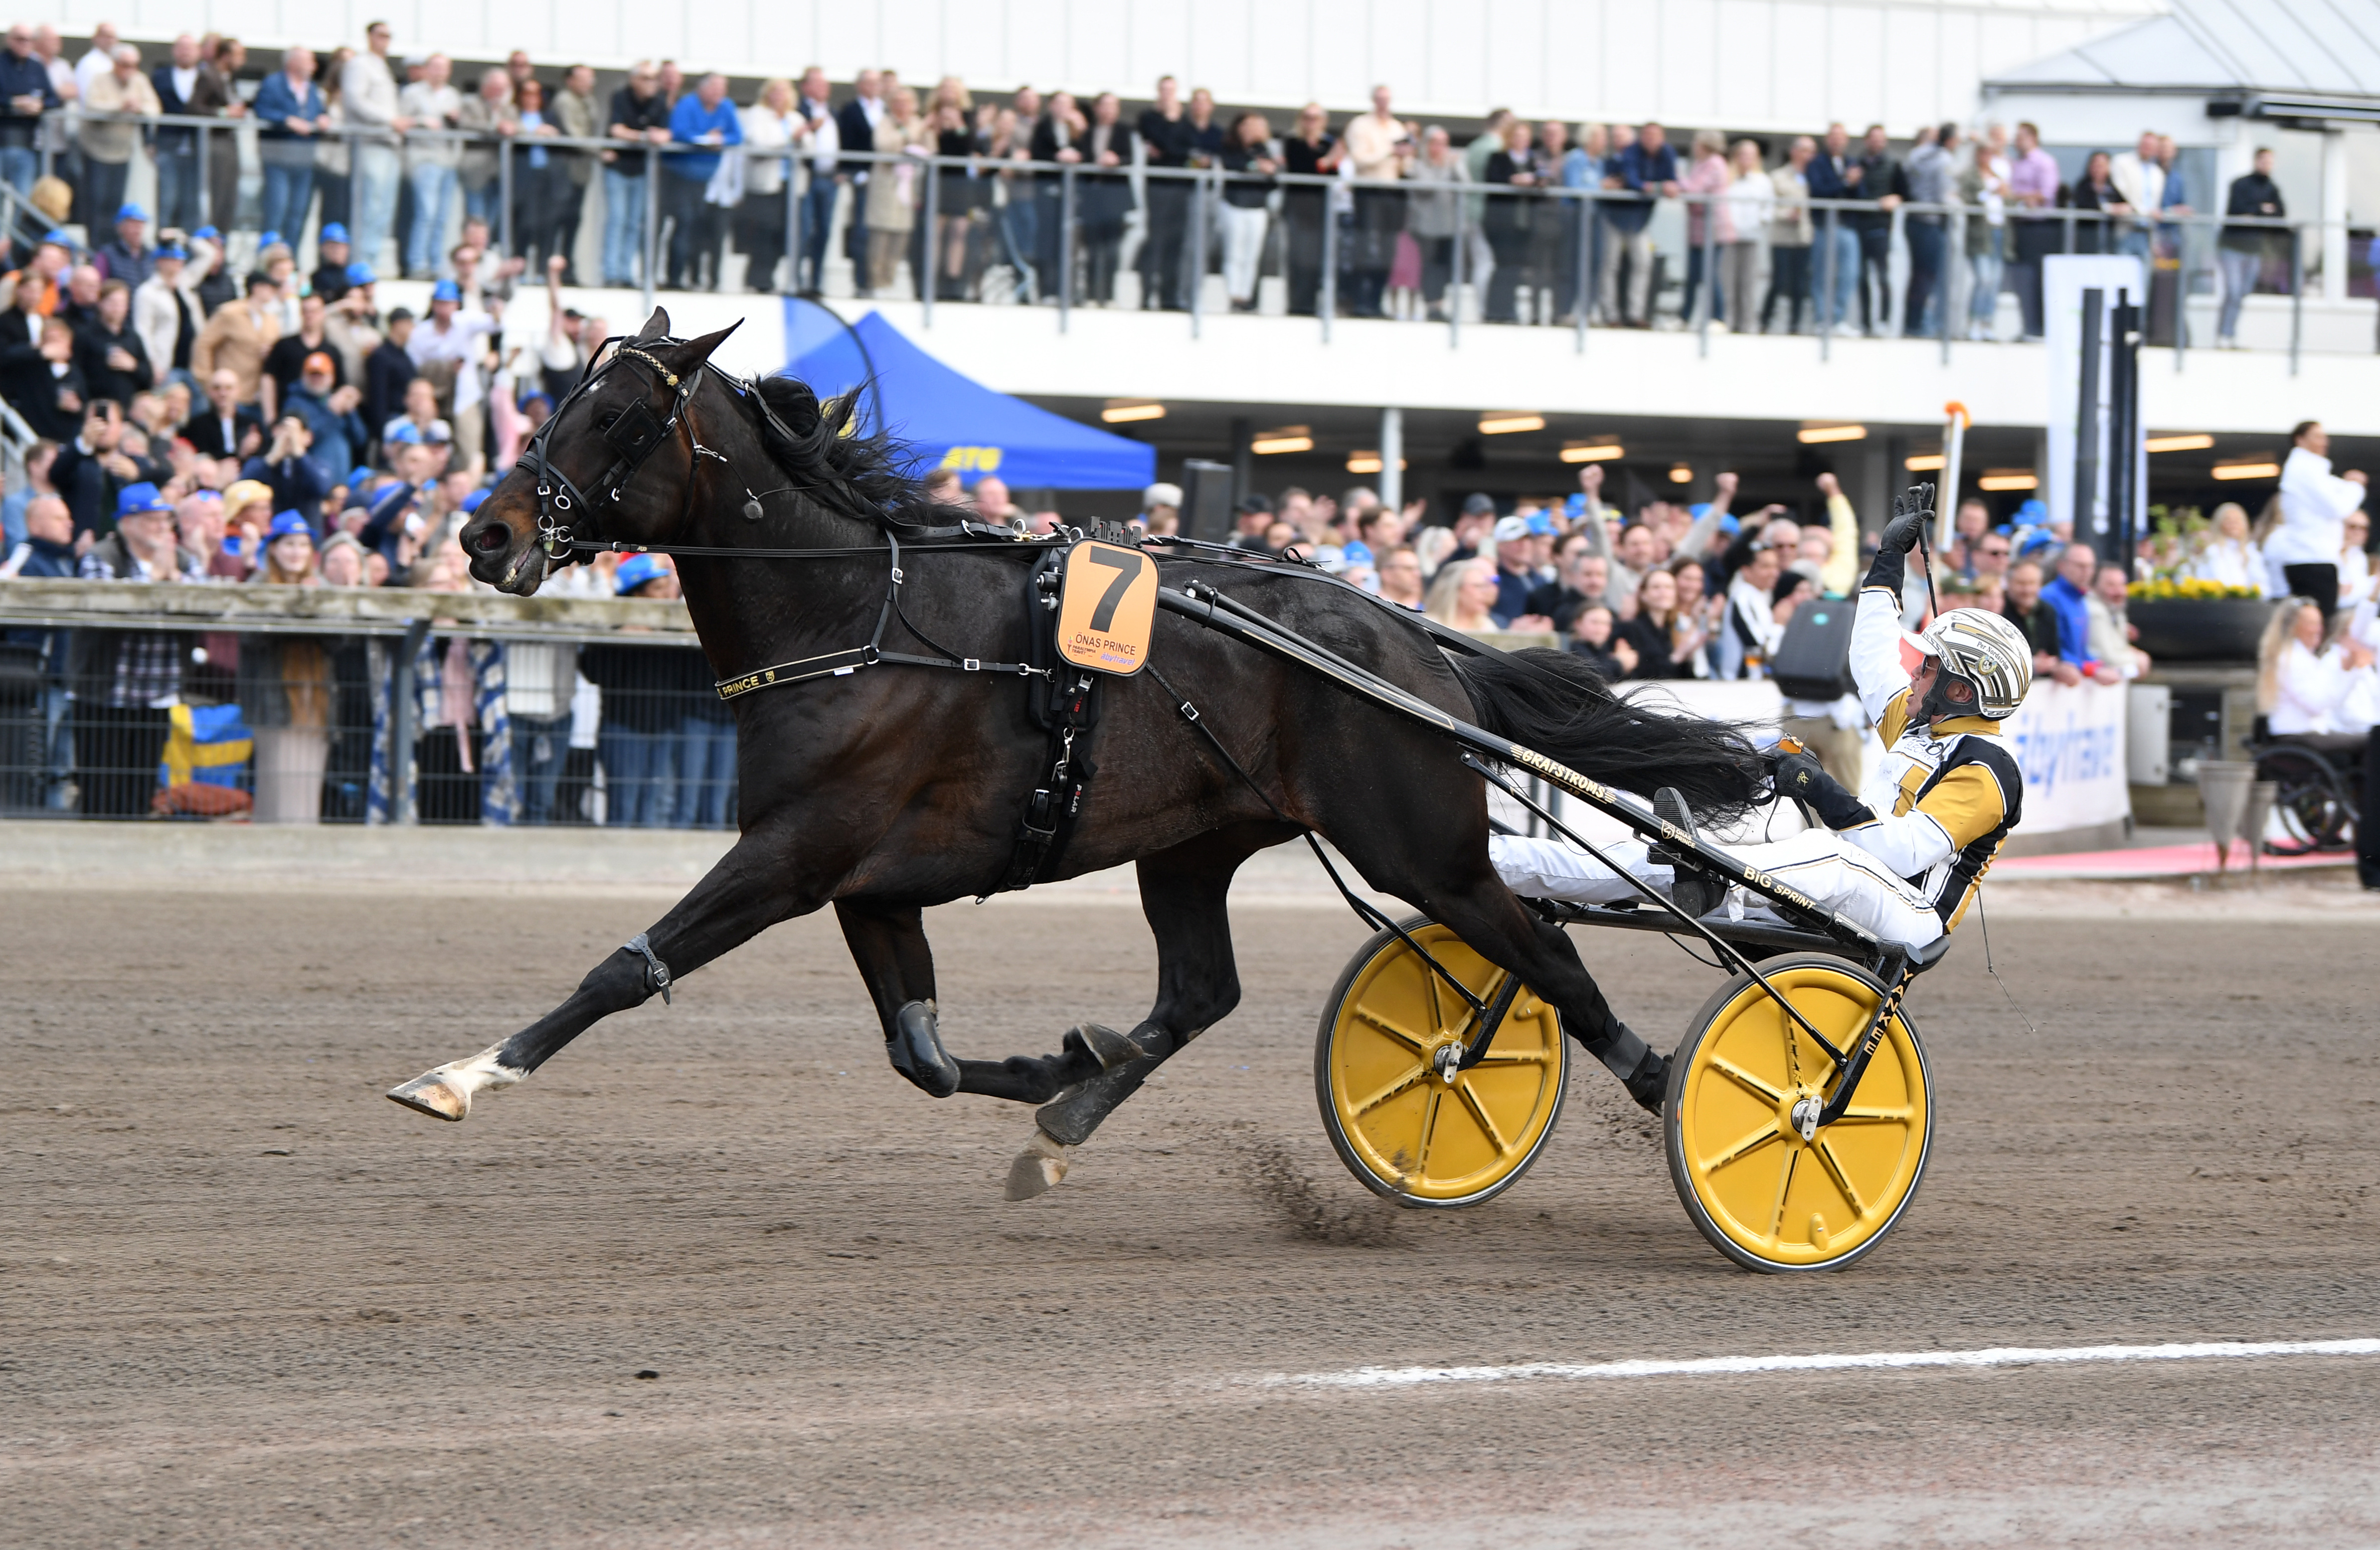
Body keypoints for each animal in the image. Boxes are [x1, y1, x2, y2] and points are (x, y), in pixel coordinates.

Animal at [396, 308, 1764, 1197]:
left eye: (618, 416)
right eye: (557, 400)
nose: (484, 532)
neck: (857, 618)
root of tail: (1413, 645)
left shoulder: (794, 855)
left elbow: (627, 968)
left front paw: (462, 1073)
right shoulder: (872, 882)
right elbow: (924, 1055)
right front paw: (1058, 1064)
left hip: (1424, 847)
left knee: (1552, 959)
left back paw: (1687, 1092)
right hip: (1196, 846)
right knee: (1203, 993)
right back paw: (1076, 1108)